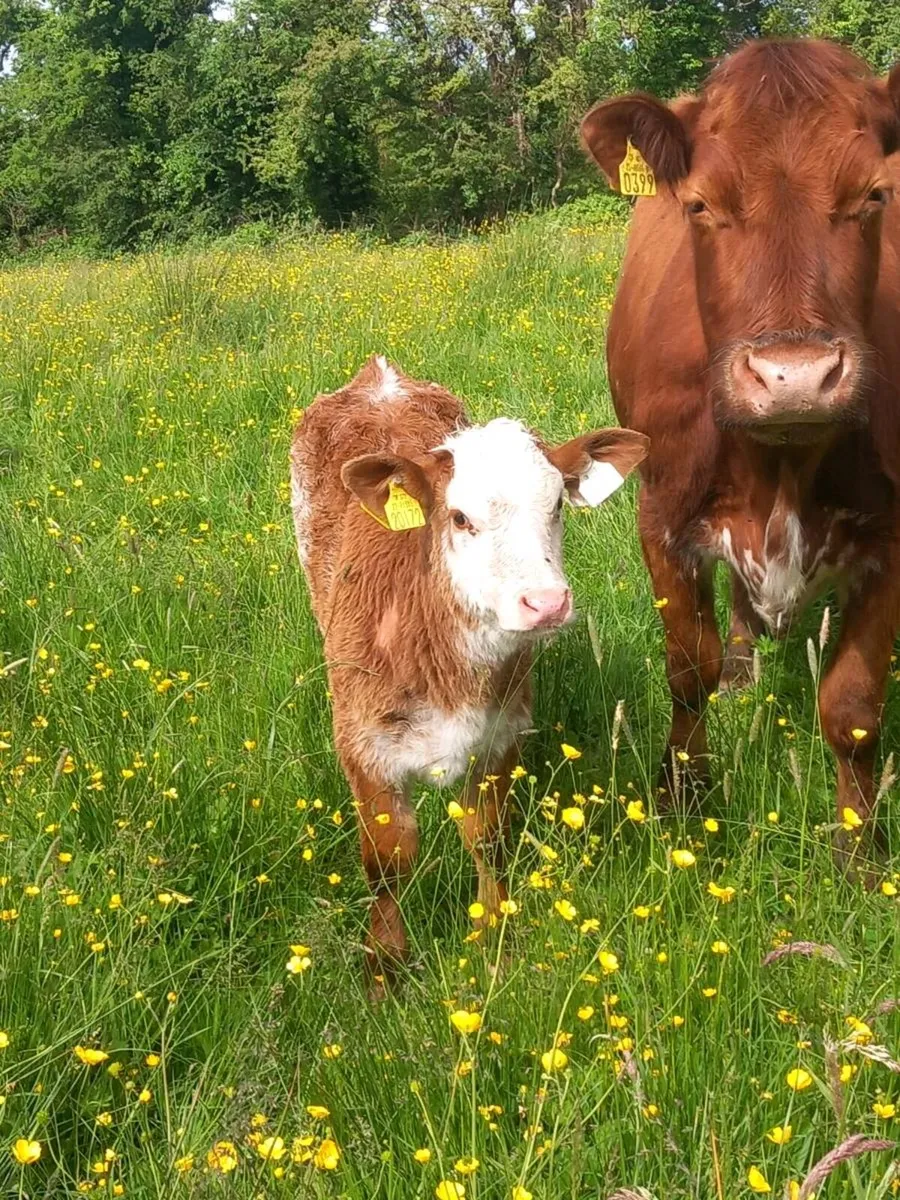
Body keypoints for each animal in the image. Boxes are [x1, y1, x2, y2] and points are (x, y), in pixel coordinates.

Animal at [290, 355, 648, 993]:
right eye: (459, 517)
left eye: (557, 506)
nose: (545, 602)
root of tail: (377, 374)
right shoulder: (364, 748)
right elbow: (389, 860)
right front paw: (384, 971)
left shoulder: (502, 735)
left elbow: (490, 838)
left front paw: (492, 940)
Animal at [580, 38, 900, 867]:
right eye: (701, 204)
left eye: (874, 195)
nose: (795, 378)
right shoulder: (662, 510)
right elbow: (686, 670)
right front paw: (680, 802)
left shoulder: (895, 529)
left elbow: (854, 706)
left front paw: (859, 854)